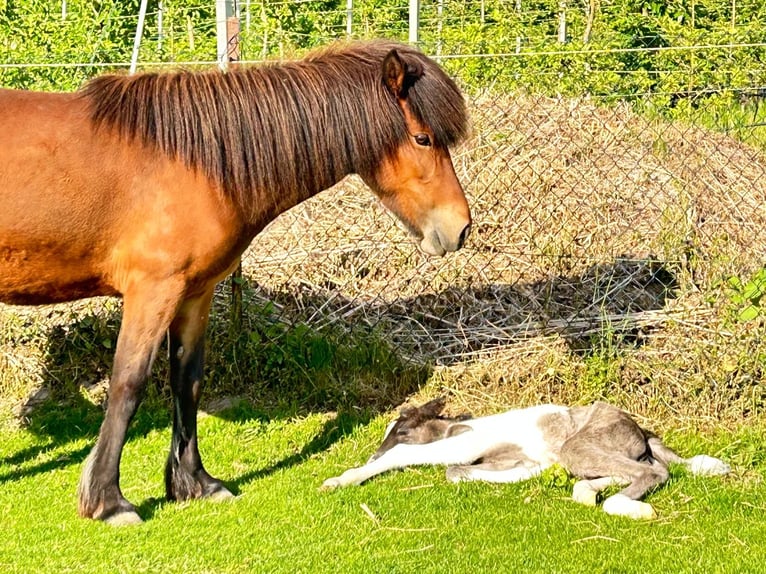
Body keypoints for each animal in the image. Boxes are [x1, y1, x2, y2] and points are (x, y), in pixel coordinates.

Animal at [0, 40, 471, 525]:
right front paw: (108, 501)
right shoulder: (153, 291)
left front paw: (196, 484)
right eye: (422, 138)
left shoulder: (194, 292)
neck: (194, 161)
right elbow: (128, 386)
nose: (460, 228)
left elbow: (187, 382)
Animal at [322, 398, 730, 519]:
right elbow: (456, 473)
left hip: (576, 447)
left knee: (654, 473)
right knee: (650, 468)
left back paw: (627, 507)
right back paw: (588, 493)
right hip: (587, 455)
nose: (372, 452)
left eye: (402, 431)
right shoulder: (523, 465)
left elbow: (413, 457)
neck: (457, 428)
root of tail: (639, 428)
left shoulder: (463, 445)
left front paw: (343, 479)